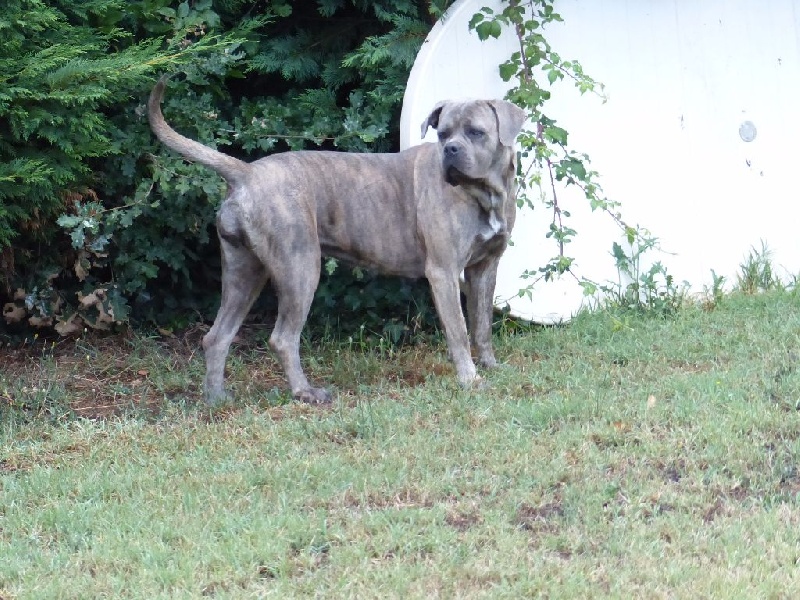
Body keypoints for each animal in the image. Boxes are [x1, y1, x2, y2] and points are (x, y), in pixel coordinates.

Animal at [148, 75, 524, 404]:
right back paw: (305, 393)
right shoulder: (443, 271)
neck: (484, 193)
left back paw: (216, 399)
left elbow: (482, 323)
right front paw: (470, 379)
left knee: (217, 336)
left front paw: (491, 366)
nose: (451, 150)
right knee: (282, 338)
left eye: (476, 132)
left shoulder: (484, 268)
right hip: (300, 268)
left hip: (244, 272)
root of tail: (246, 173)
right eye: (443, 133)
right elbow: (459, 329)